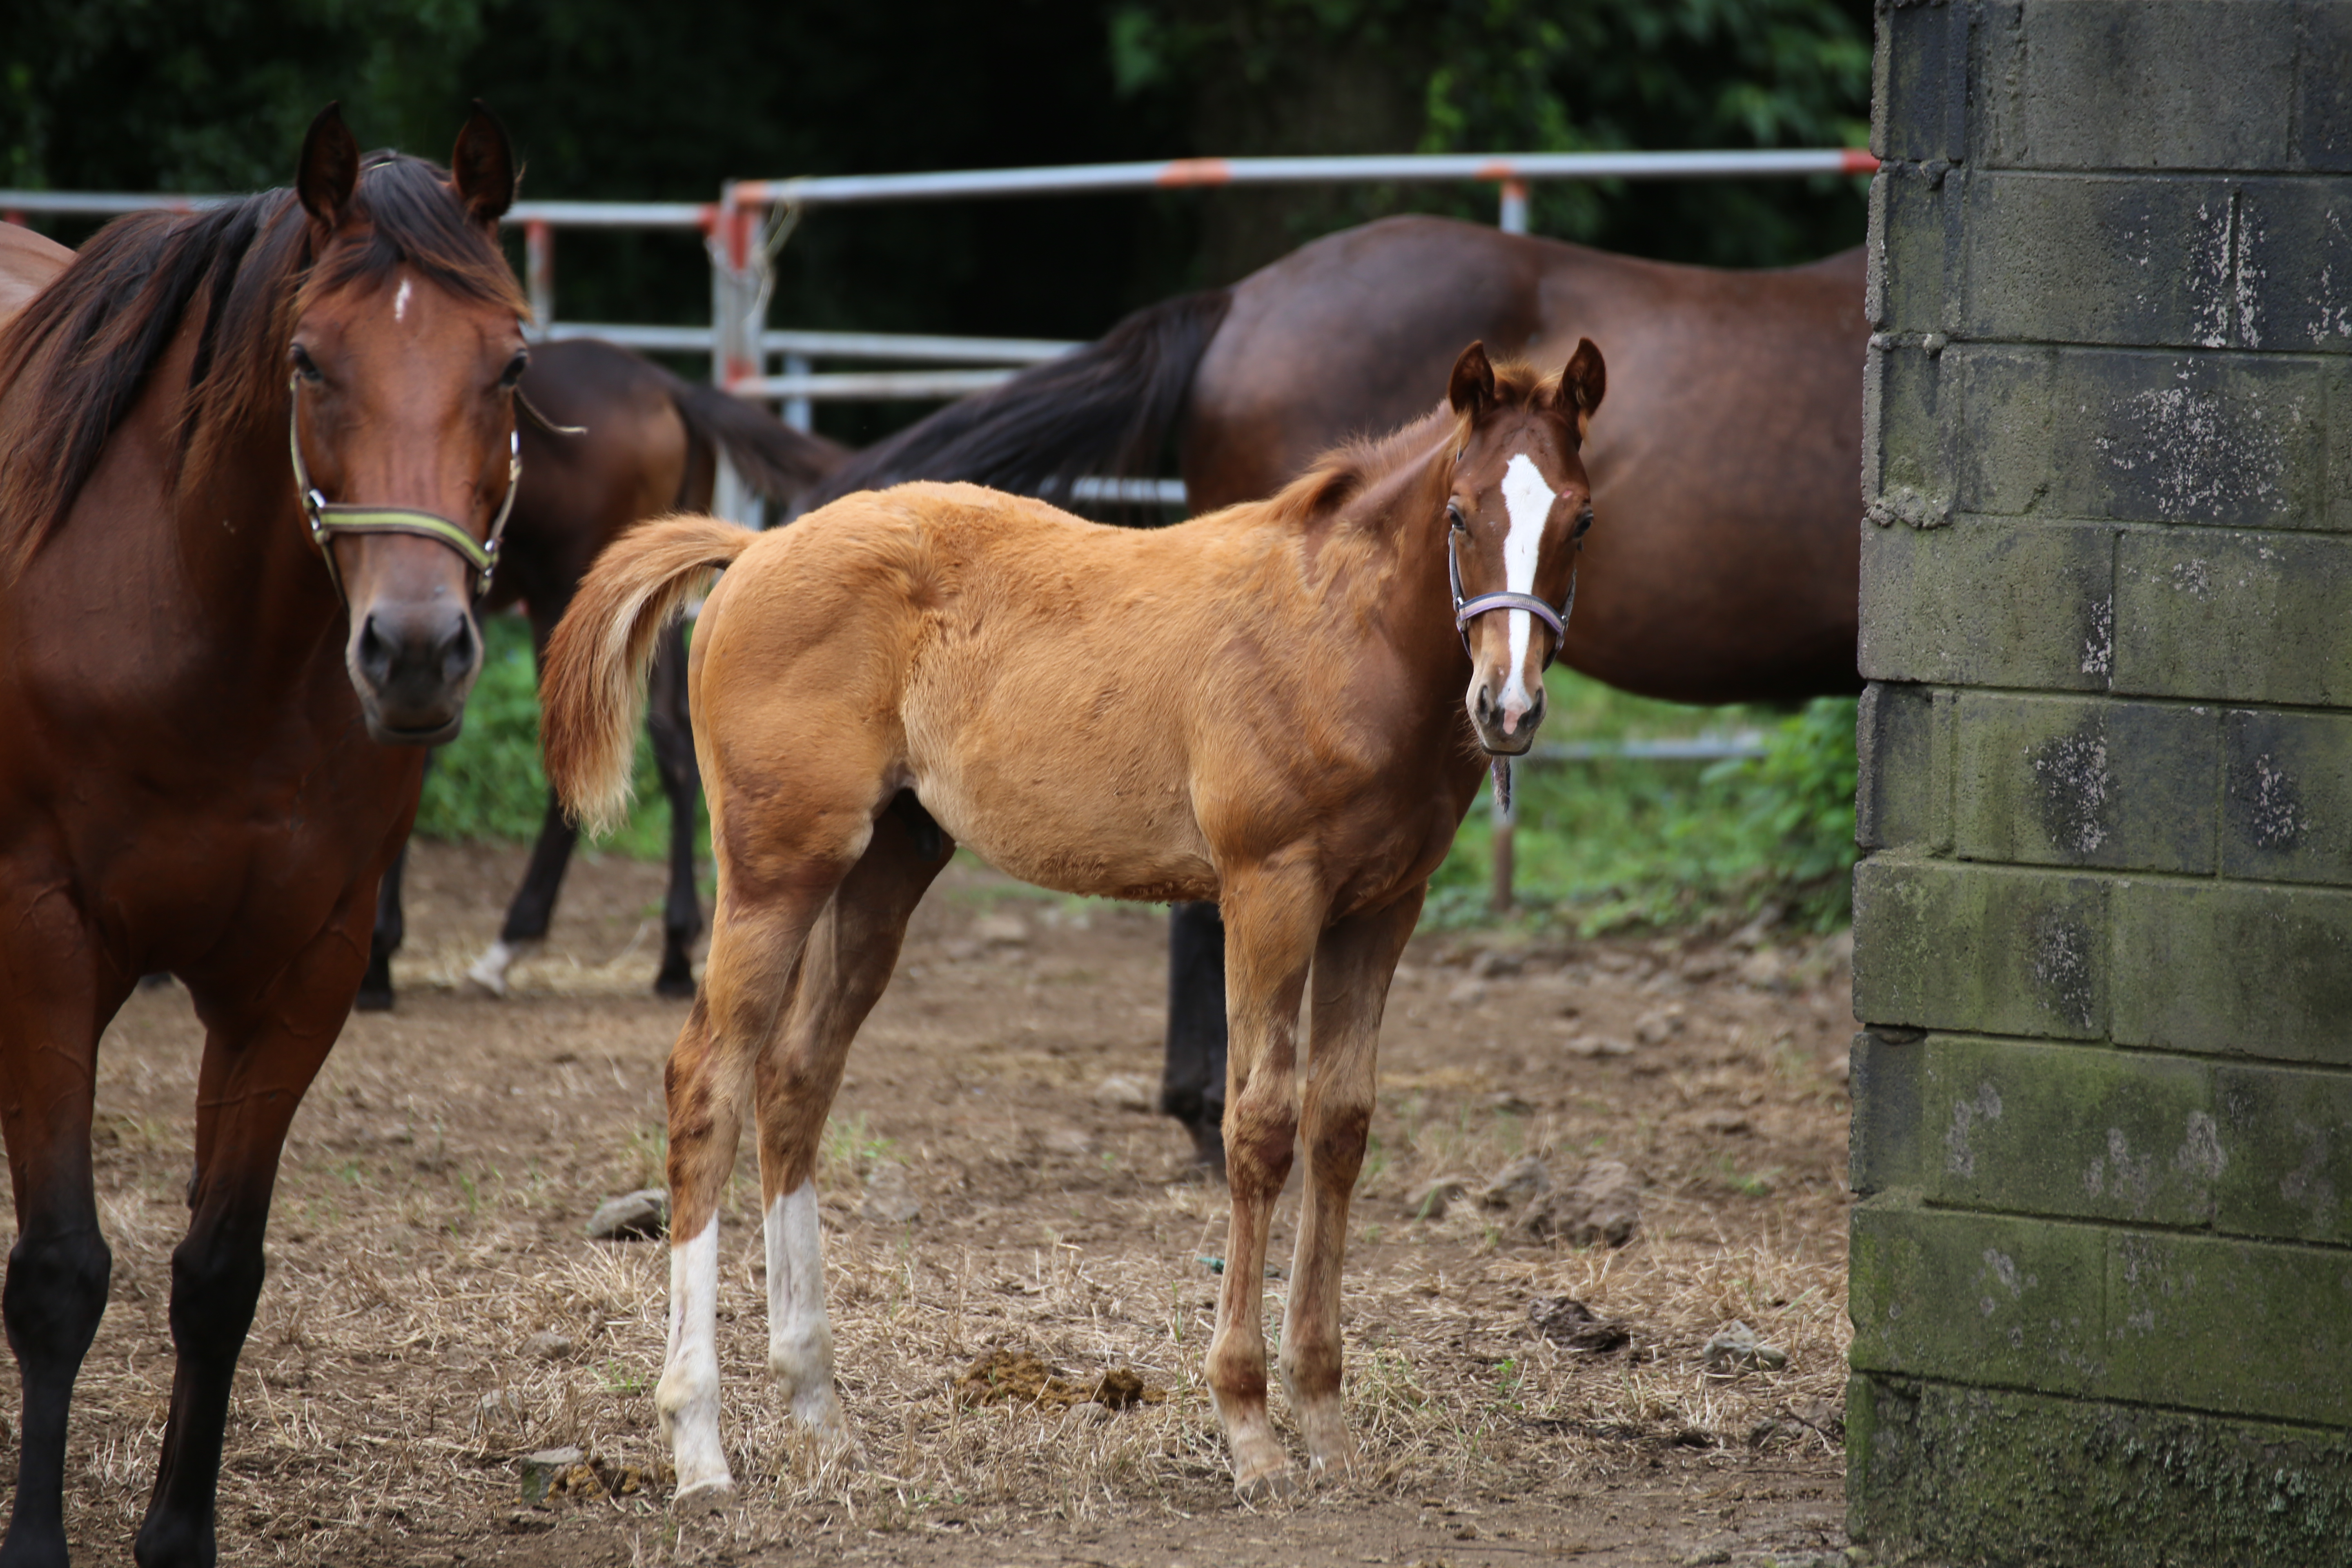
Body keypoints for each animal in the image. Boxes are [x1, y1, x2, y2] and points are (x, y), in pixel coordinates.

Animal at [0, 104, 529, 1561]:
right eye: (308, 358)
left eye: (514, 362)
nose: (416, 651)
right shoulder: (42, 940)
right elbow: (58, 1270)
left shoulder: (301, 973)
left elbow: (219, 1273)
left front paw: (177, 1535)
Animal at [357, 339, 846, 1011]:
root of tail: (670, 386)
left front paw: (377, 955)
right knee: (670, 741)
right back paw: (672, 954)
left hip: (566, 594)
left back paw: (510, 945)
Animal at [543, 341, 1608, 1504]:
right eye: (1459, 513)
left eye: (1579, 519)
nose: (1507, 708)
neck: (1340, 630)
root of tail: (755, 549)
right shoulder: (1268, 890)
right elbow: (1258, 1128)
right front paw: (1249, 1425)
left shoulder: (1381, 909)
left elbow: (1339, 1127)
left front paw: (1326, 1420)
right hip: (778, 871)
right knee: (708, 1081)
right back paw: (699, 1446)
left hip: (886, 867)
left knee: (794, 1081)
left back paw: (819, 1414)